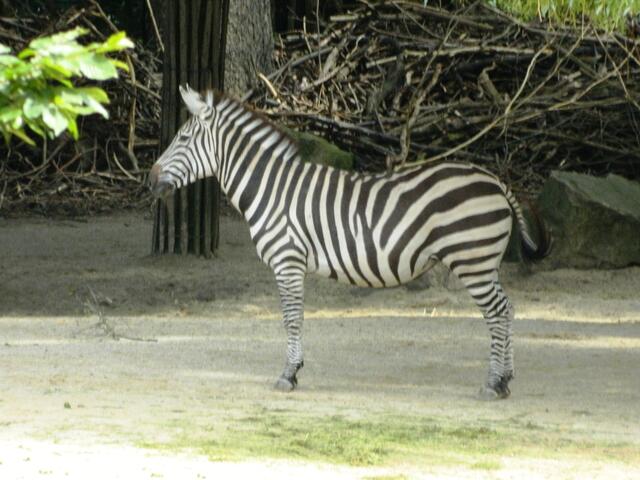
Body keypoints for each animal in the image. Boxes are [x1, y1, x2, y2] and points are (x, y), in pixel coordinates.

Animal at [149, 85, 550, 400]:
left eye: (182, 139)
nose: (150, 180)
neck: (272, 188)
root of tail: (496, 181)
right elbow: (295, 317)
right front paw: (294, 369)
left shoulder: (287, 260)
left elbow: (292, 317)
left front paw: (289, 374)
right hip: (484, 263)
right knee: (507, 309)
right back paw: (505, 380)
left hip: (472, 261)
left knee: (497, 313)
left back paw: (493, 383)